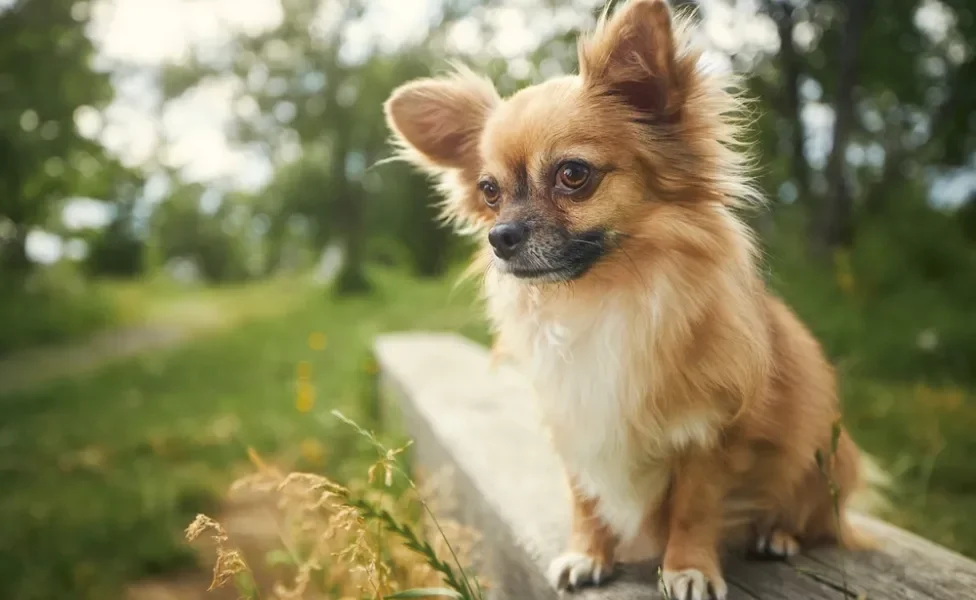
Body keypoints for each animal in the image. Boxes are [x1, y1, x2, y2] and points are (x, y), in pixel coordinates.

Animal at [386, 2, 864, 596]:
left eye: (573, 175)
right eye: (489, 192)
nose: (501, 237)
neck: (600, 295)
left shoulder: (713, 435)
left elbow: (694, 508)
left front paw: (687, 567)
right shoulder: (575, 421)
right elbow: (585, 499)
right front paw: (588, 554)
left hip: (822, 457)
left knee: (818, 518)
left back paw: (778, 535)